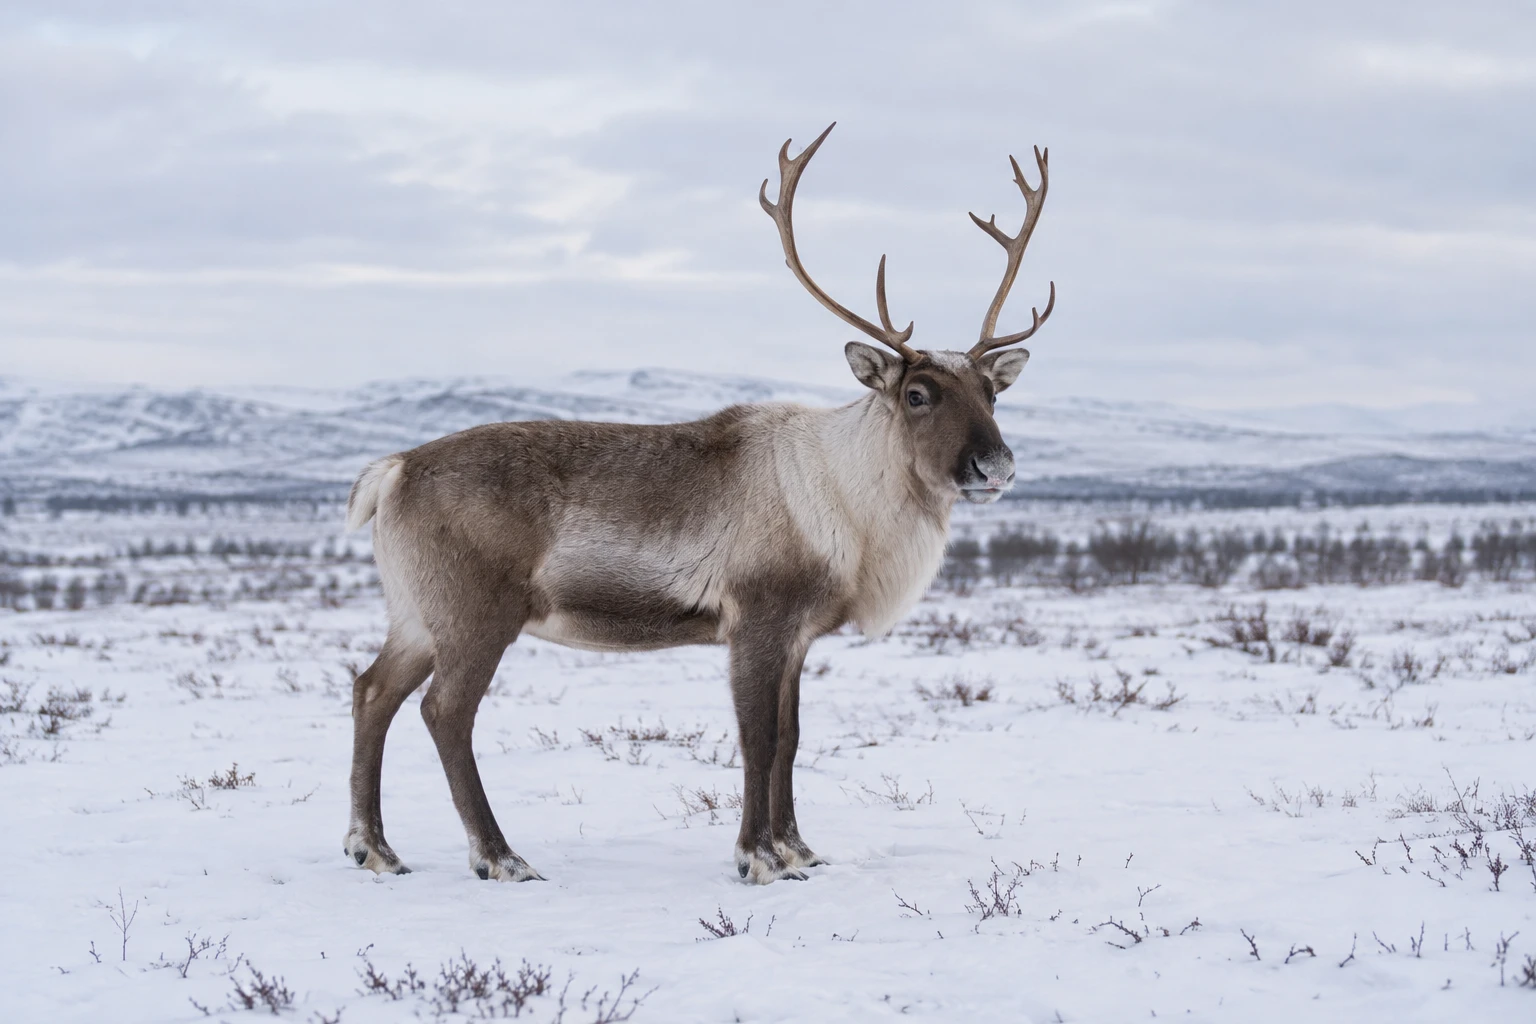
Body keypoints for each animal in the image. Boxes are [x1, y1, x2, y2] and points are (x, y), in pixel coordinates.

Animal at [342, 122, 1054, 885]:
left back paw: (374, 847)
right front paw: (758, 857)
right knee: (445, 711)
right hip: (475, 612)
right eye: (917, 394)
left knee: (371, 691)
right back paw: (500, 856)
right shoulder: (757, 619)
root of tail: (393, 471)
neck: (850, 501)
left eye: (992, 390)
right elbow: (758, 737)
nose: (996, 466)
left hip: (415, 613)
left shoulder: (800, 634)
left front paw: (799, 848)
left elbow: (791, 736)